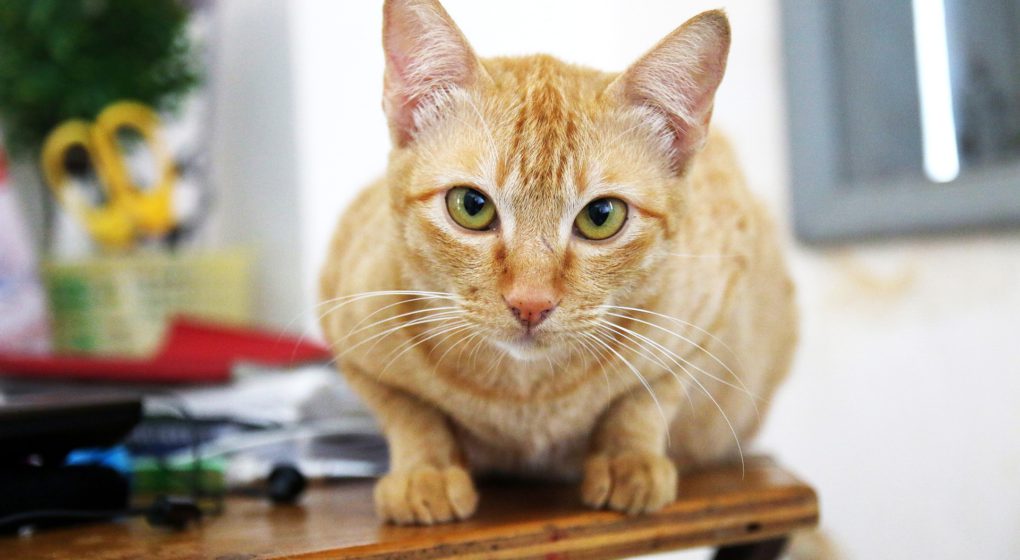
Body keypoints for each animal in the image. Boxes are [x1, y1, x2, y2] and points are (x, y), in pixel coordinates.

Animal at [318, 0, 795, 522]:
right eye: (471, 206)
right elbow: (409, 411)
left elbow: (644, 399)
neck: (526, 396)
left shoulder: (708, 314)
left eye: (601, 216)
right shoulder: (345, 323)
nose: (531, 303)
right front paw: (427, 470)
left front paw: (628, 460)